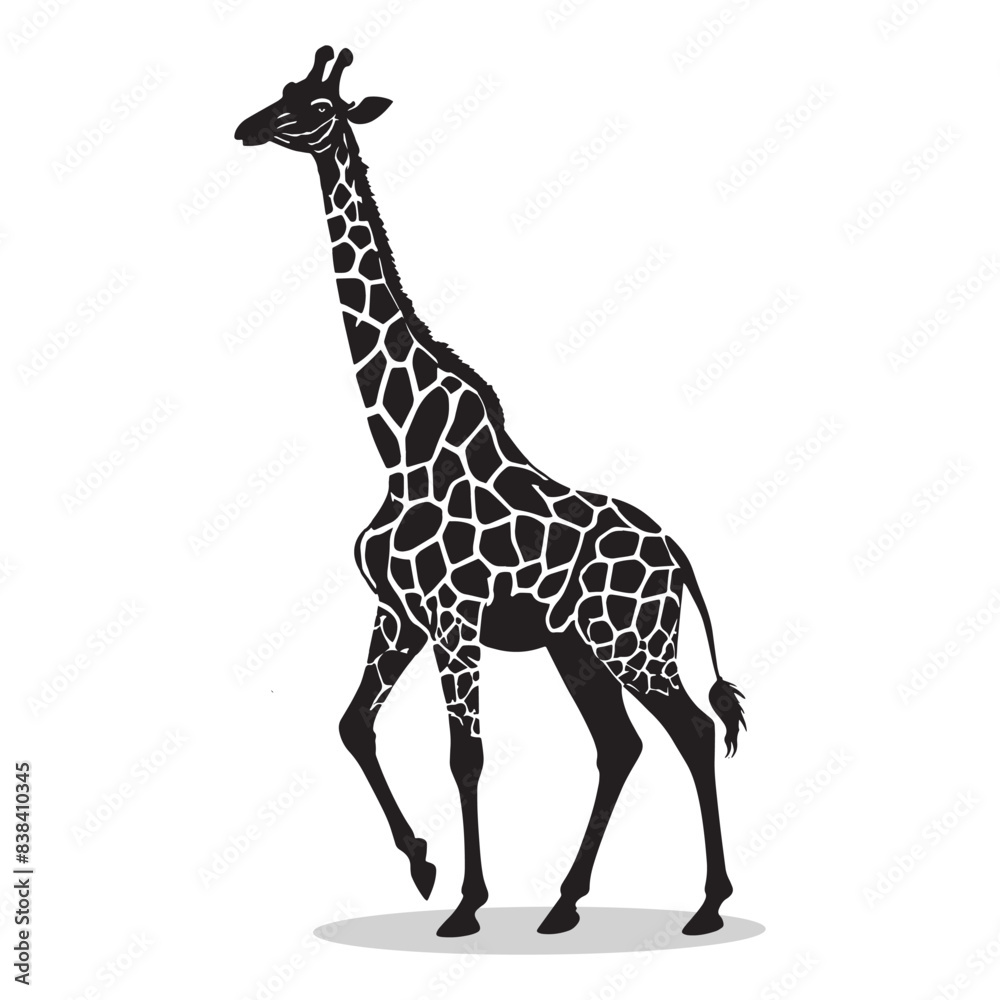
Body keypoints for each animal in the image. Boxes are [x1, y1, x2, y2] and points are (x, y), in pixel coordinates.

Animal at [236, 46, 747, 939]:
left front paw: (467, 904)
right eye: (285, 92)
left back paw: (708, 905)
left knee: (691, 726)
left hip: (633, 642)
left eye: (316, 109)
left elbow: (464, 755)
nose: (246, 127)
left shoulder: (453, 619)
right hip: (580, 649)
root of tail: (678, 556)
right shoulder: (400, 612)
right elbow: (352, 725)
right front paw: (422, 866)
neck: (401, 446)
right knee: (622, 745)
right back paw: (565, 903)